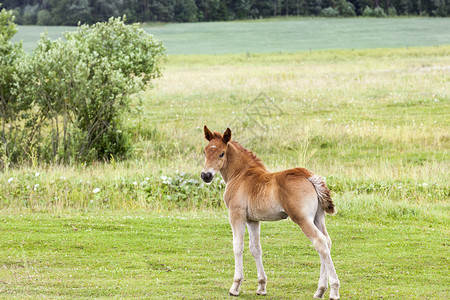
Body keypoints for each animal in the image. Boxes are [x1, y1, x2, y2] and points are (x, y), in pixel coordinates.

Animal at [202, 125, 340, 298]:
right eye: (205, 151)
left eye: (221, 153)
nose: (205, 175)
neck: (240, 175)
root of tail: (309, 176)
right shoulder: (253, 220)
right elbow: (256, 248)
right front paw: (261, 287)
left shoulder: (236, 214)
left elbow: (238, 246)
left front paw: (235, 287)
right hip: (318, 217)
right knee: (327, 241)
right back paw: (320, 290)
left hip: (302, 219)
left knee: (320, 242)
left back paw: (333, 290)